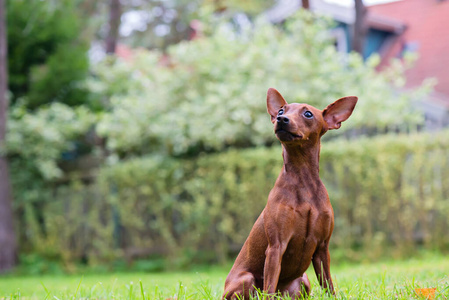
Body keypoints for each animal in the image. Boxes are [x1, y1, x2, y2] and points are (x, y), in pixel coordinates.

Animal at [221, 88, 356, 298]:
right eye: (280, 110)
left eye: (308, 113)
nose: (281, 119)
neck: (303, 180)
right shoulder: (276, 247)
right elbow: (268, 288)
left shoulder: (322, 248)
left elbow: (328, 285)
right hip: (246, 279)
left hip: (303, 280)